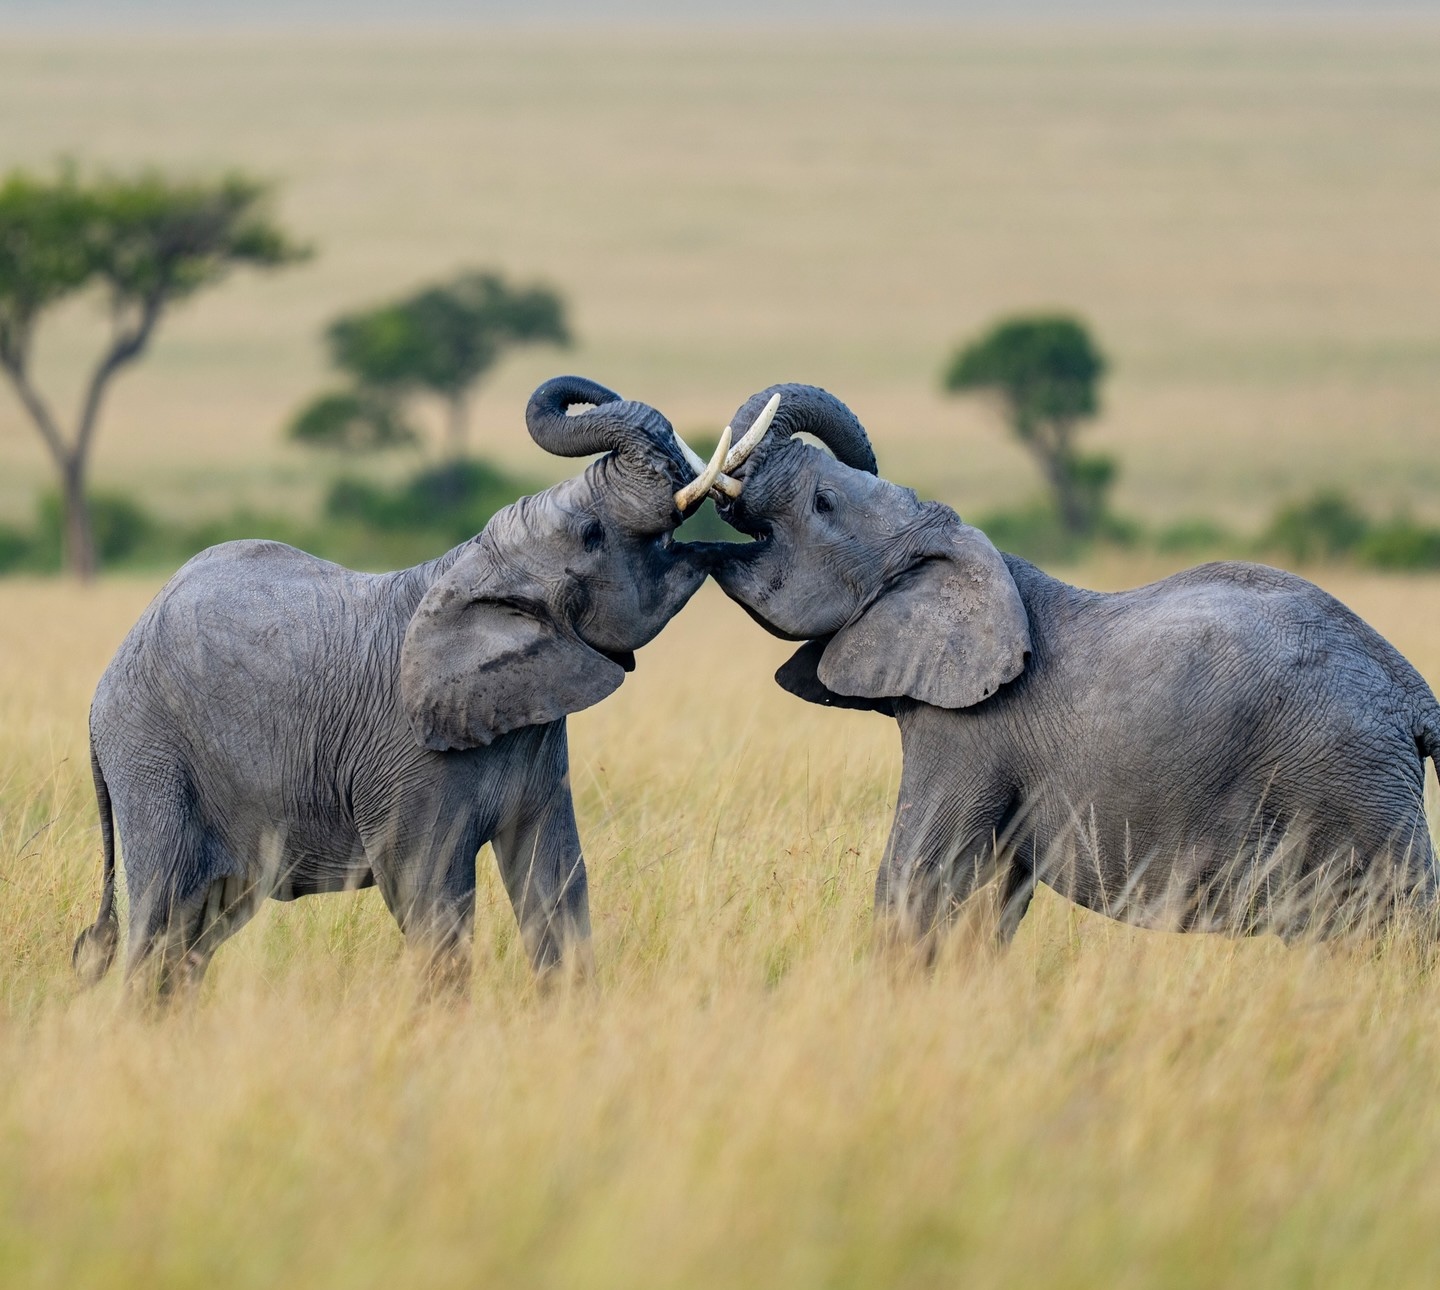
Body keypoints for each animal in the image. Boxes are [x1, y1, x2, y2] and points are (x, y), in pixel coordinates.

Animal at [68, 374, 748, 996]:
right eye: (592, 535)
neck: (471, 568)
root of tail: (101, 692)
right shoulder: (409, 758)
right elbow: (426, 889)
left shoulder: (533, 735)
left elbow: (555, 877)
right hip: (153, 760)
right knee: (161, 915)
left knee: (200, 930)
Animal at [696, 380, 1440, 944]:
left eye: (822, 503)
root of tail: (1412, 693)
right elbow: (994, 894)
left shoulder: (969, 731)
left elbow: (914, 874)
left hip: (1350, 780)